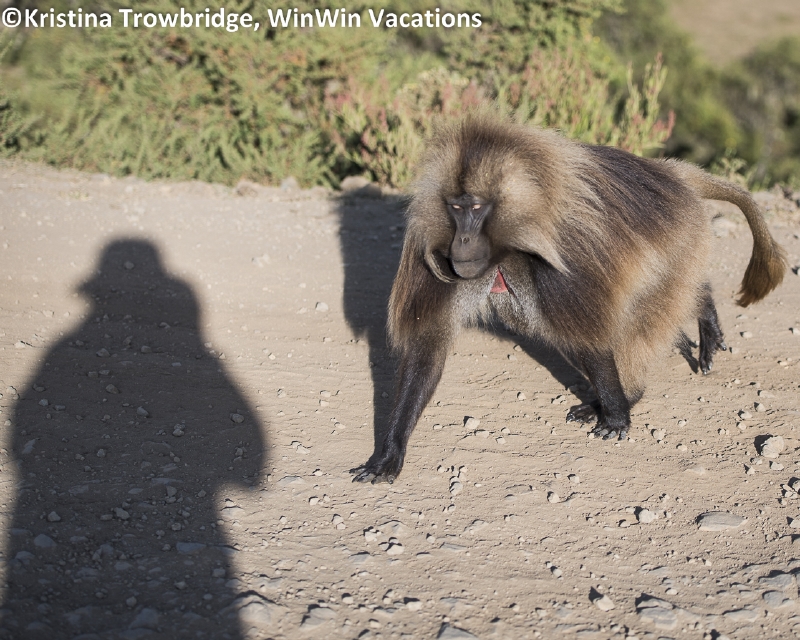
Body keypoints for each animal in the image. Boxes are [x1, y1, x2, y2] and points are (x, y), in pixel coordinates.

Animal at [350, 114, 787, 484]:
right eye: (455, 208)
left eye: (476, 207)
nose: (463, 243)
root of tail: (671, 173)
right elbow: (427, 346)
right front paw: (389, 454)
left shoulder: (564, 256)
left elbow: (592, 338)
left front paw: (617, 416)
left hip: (681, 242)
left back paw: (637, 386)